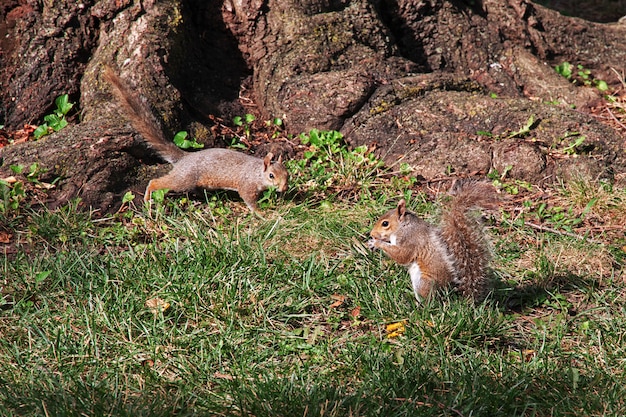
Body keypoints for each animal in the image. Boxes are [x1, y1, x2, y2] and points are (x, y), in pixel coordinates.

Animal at [102, 68, 288, 213]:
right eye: (271, 175)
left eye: (287, 174)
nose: (284, 188)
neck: (257, 173)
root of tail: (185, 157)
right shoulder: (246, 185)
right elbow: (249, 200)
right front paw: (262, 213)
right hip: (184, 179)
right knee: (157, 182)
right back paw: (148, 197)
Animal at [366, 180, 498, 300]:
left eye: (385, 223)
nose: (372, 234)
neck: (403, 227)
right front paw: (372, 243)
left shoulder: (410, 240)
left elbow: (402, 255)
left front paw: (377, 243)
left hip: (424, 282)